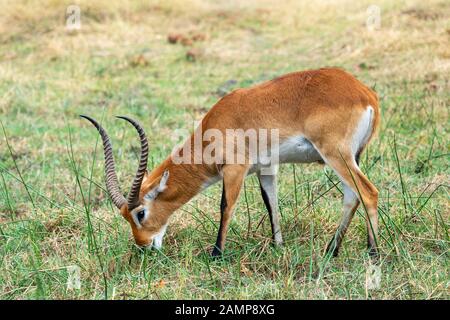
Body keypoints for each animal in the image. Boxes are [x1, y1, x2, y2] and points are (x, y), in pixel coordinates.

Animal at [81, 66, 380, 258]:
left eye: (140, 213)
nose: (142, 246)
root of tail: (366, 93)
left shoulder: (235, 169)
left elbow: (226, 206)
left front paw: (216, 254)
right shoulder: (266, 169)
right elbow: (271, 204)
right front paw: (278, 246)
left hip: (336, 155)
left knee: (368, 192)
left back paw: (373, 252)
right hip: (351, 157)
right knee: (352, 196)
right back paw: (332, 250)